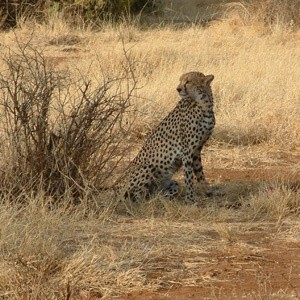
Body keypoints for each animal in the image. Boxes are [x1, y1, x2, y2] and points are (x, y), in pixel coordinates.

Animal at [125, 71, 216, 203]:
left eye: (188, 81)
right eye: (180, 80)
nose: (178, 89)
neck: (203, 104)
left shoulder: (197, 149)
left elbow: (199, 172)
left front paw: (206, 191)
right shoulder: (187, 150)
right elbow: (188, 176)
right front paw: (190, 199)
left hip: (170, 184)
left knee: (157, 193)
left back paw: (162, 199)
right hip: (147, 168)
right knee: (136, 196)